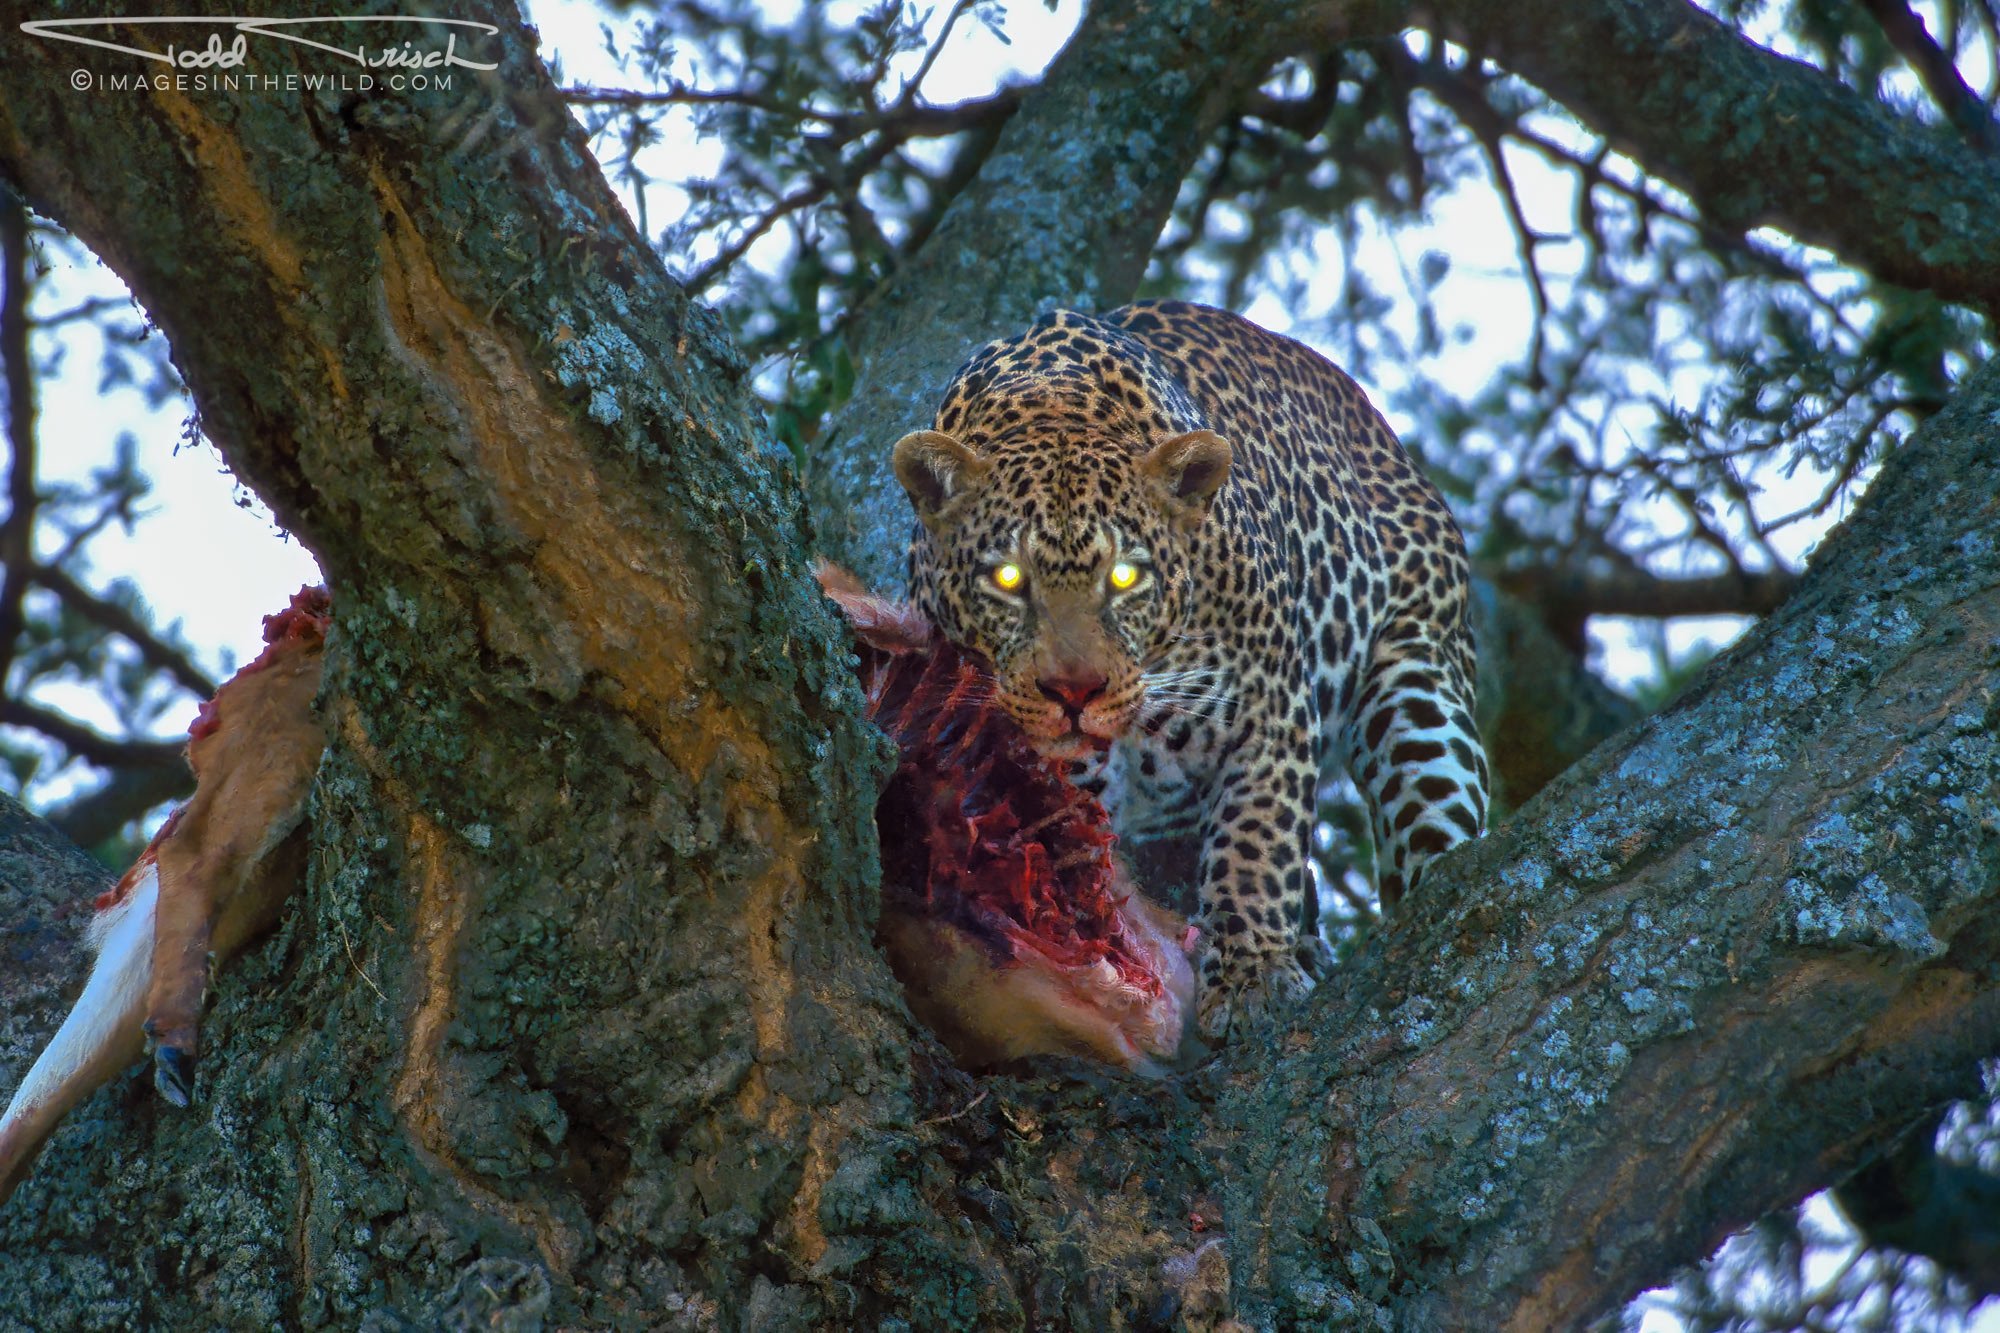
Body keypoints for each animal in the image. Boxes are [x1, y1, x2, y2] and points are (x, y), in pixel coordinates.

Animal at [892, 296, 1488, 1032]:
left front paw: (1250, 976)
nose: (1073, 692)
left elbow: (1257, 843)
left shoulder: (1269, 709)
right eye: (1008, 579)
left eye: (1124, 577)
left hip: (1419, 682)